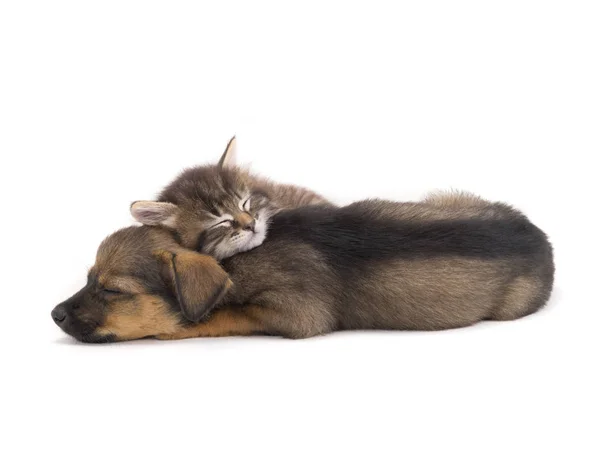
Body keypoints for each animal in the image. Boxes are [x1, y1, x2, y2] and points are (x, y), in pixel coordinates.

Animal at [50, 193, 552, 342]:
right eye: (88, 279)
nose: (54, 315)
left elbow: (226, 315)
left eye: (112, 290)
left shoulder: (299, 315)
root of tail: (537, 234)